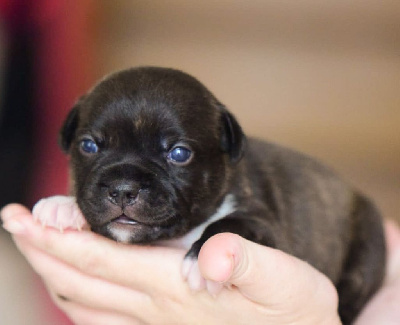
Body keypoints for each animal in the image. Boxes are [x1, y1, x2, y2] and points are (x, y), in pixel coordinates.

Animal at [33, 66, 384, 322]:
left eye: (179, 153)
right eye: (88, 146)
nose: (122, 189)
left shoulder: (267, 226)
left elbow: (231, 224)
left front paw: (200, 255)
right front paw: (63, 207)